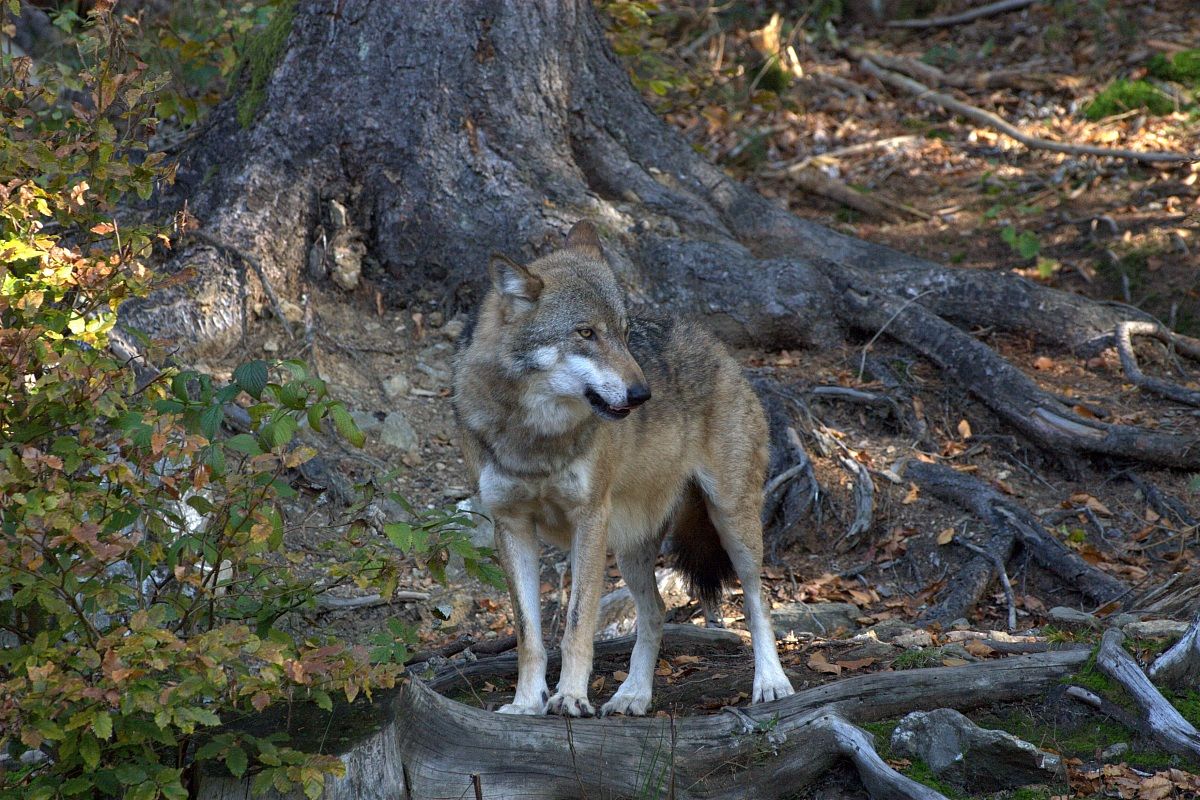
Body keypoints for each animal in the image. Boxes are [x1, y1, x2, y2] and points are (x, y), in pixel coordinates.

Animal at [452, 220, 794, 716]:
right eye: (586, 333)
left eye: (626, 333)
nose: (641, 394)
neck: (535, 437)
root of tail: (716, 345)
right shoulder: (511, 525)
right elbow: (529, 636)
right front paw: (526, 703)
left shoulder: (589, 519)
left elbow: (577, 625)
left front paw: (570, 697)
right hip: (631, 546)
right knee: (656, 613)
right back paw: (633, 694)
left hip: (731, 522)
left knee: (757, 600)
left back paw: (770, 682)